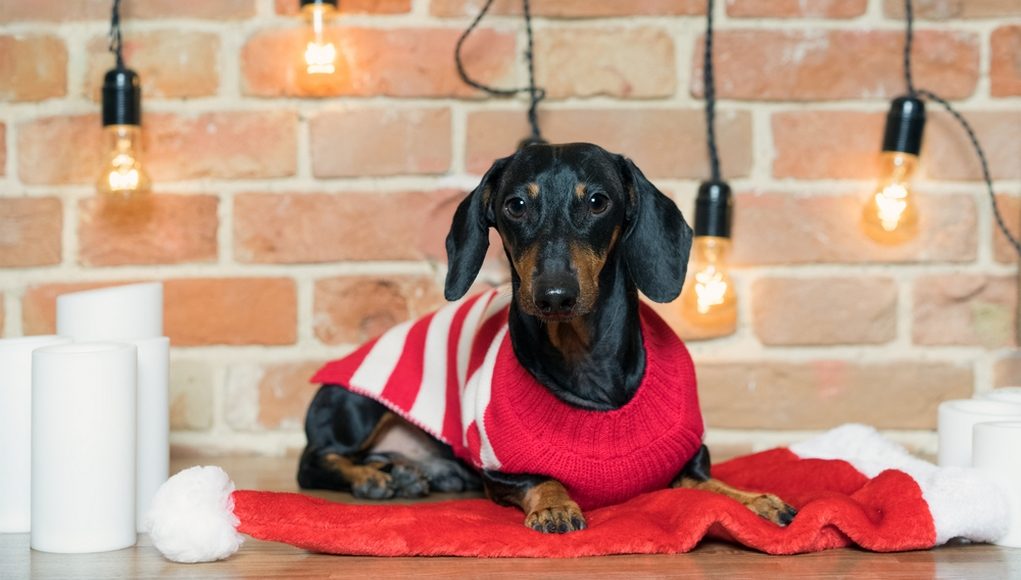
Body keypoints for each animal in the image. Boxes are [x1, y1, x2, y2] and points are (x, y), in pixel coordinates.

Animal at [298, 142, 796, 530]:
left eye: (597, 201)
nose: (554, 295)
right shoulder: (500, 470)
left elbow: (713, 486)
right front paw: (556, 506)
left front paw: (755, 500)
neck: (583, 359)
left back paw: (407, 472)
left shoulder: (690, 460)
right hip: (355, 405)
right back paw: (372, 478)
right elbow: (543, 478)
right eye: (516, 205)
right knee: (315, 461)